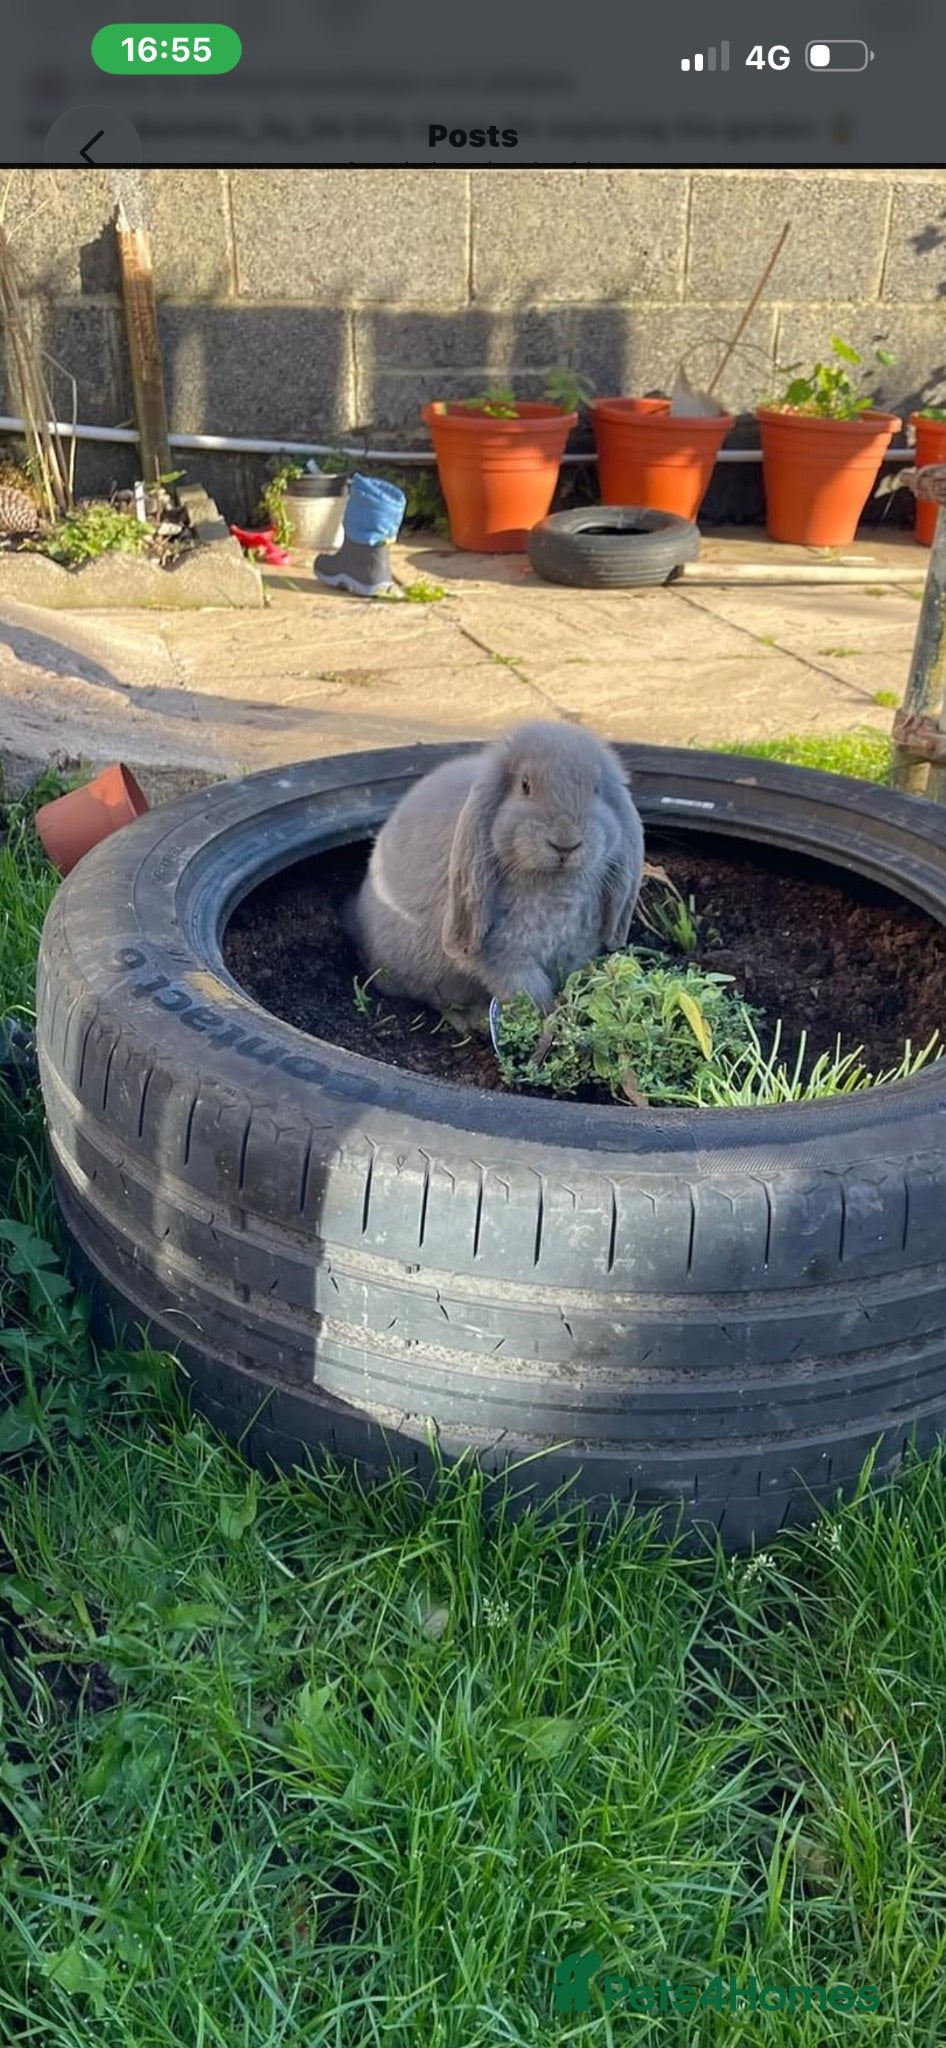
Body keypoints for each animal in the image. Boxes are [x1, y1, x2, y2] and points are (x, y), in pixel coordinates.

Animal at [348, 719, 645, 1020]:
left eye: (596, 789)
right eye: (525, 785)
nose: (565, 843)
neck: (555, 886)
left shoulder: (575, 951)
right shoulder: (505, 959)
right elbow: (530, 995)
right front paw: (552, 1020)